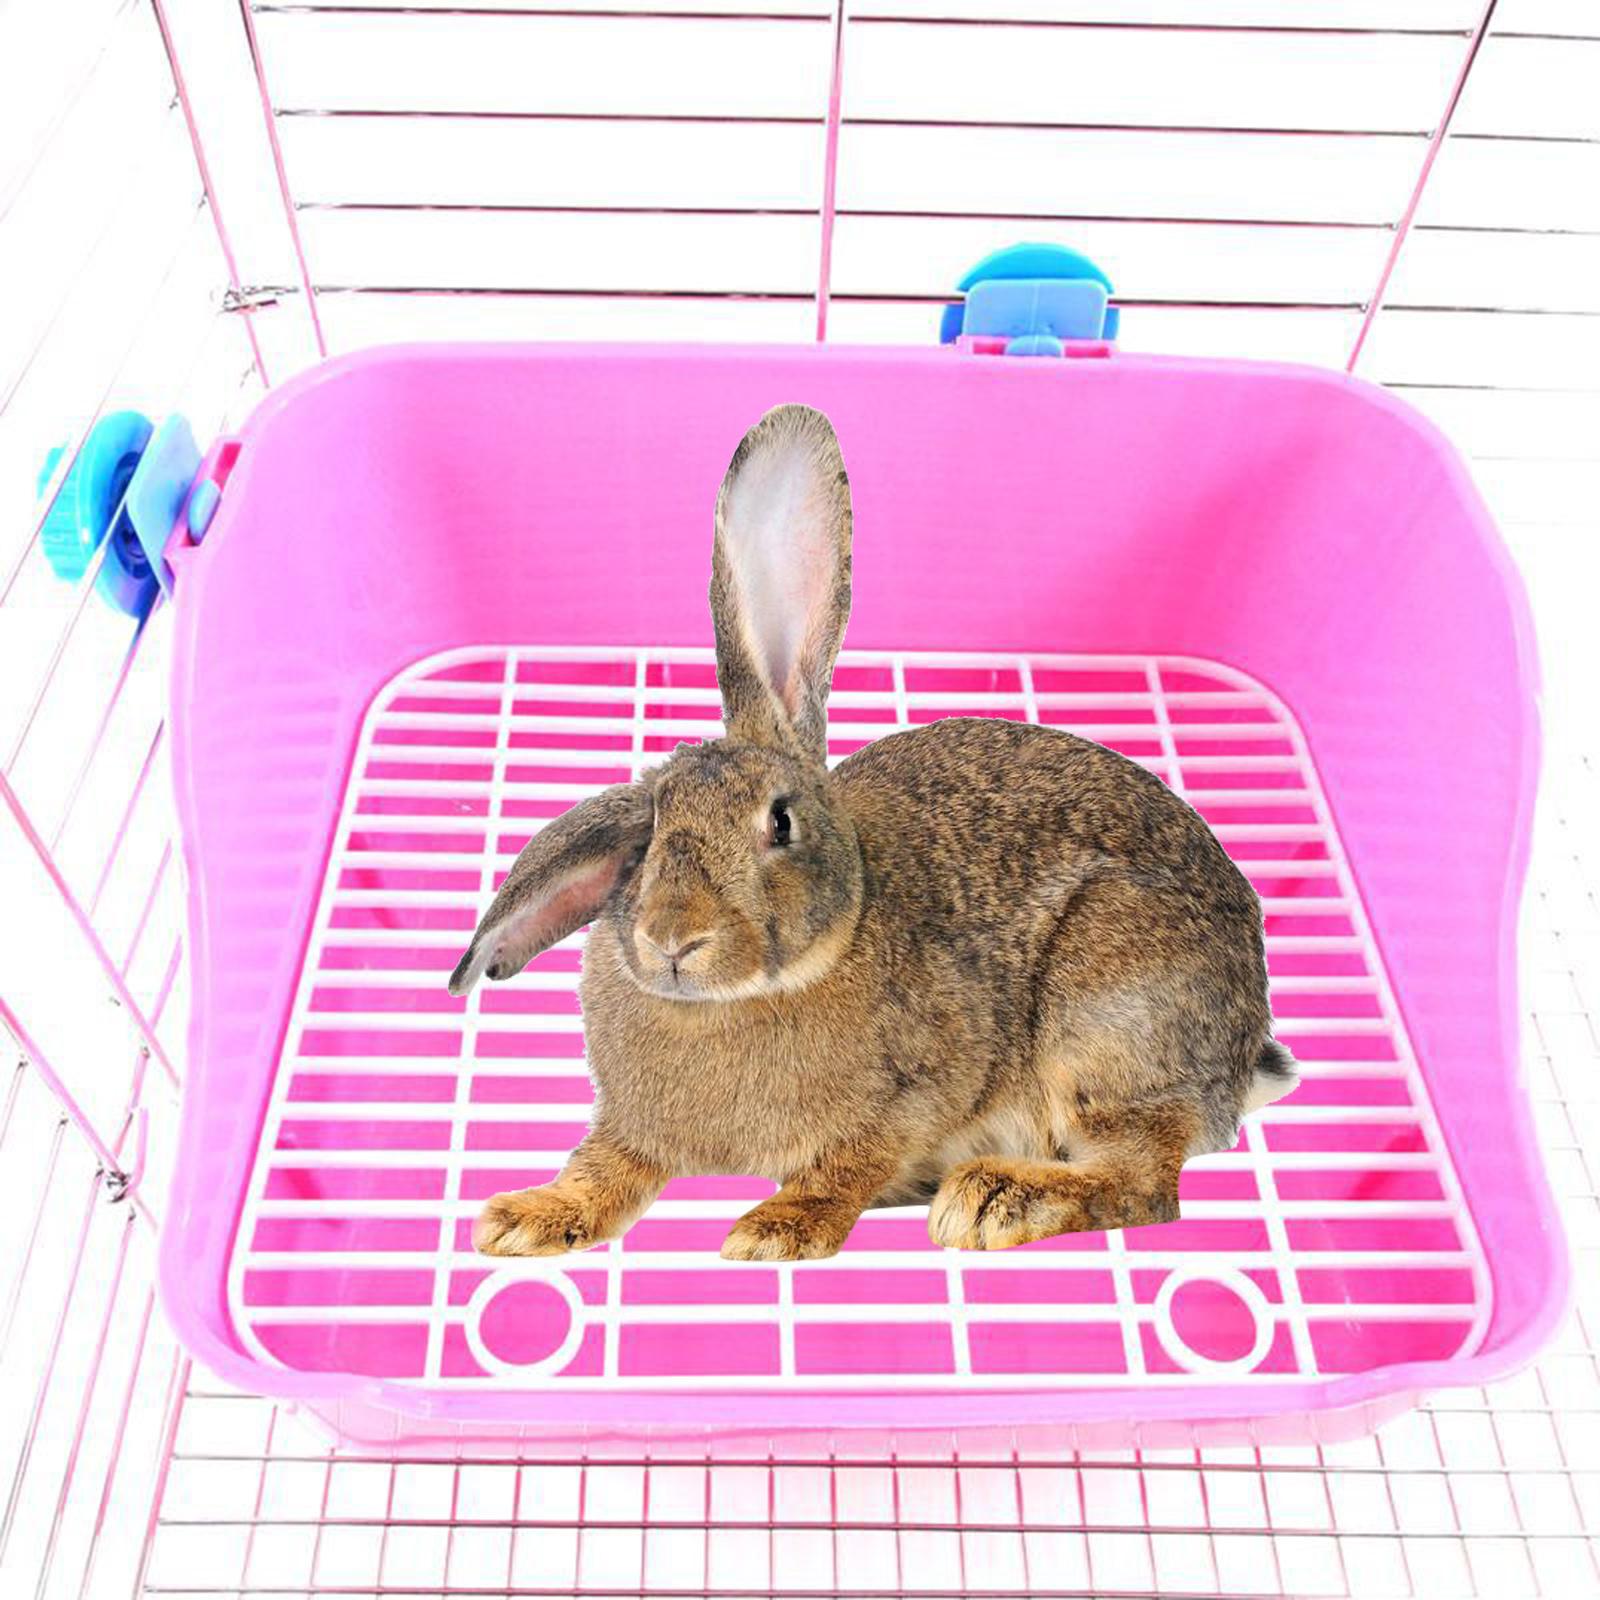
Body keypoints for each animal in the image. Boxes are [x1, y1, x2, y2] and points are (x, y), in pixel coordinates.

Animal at [448, 403, 1298, 1260]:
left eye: (780, 821)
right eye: (651, 830)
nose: (672, 940)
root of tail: (1244, 1050)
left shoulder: (911, 1100)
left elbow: (846, 1167)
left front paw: (775, 1230)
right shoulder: (633, 1132)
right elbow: (601, 1170)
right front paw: (521, 1219)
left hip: (1108, 1008)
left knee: (1145, 1183)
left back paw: (993, 1201)